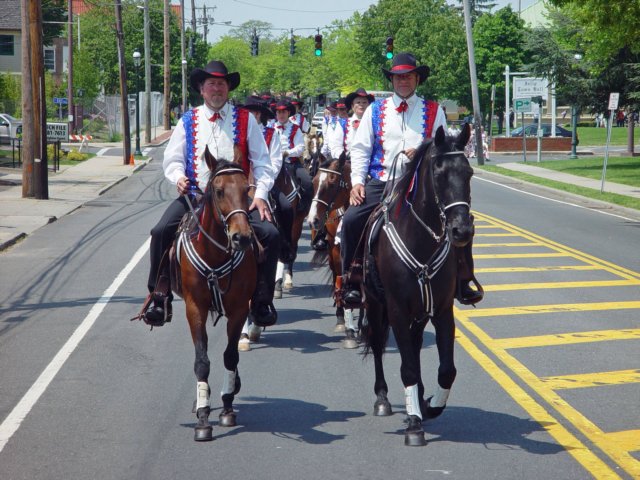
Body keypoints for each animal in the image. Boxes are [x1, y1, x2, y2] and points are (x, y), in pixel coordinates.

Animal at [174, 147, 258, 442]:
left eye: (247, 189)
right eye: (219, 191)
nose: (241, 237)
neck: (216, 252)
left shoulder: (239, 308)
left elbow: (230, 356)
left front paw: (227, 406)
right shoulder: (194, 307)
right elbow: (202, 361)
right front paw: (202, 417)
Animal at [362, 124, 472, 446]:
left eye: (469, 172)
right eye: (439, 173)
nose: (462, 230)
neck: (421, 241)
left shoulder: (443, 311)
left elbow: (447, 370)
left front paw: (431, 405)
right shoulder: (397, 310)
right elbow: (408, 366)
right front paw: (414, 424)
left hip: (419, 314)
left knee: (413, 342)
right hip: (375, 304)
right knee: (377, 344)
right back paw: (383, 398)